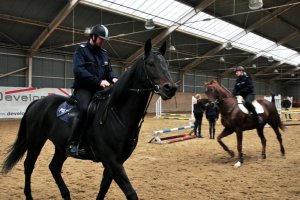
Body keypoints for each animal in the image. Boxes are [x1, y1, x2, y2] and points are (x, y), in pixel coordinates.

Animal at [1, 39, 177, 200]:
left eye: (167, 65)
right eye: (150, 64)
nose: (171, 88)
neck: (116, 115)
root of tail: (38, 102)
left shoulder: (116, 162)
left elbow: (103, 188)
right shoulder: (112, 161)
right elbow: (131, 193)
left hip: (61, 147)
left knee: (54, 167)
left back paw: (66, 195)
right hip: (36, 141)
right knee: (29, 165)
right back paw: (29, 195)